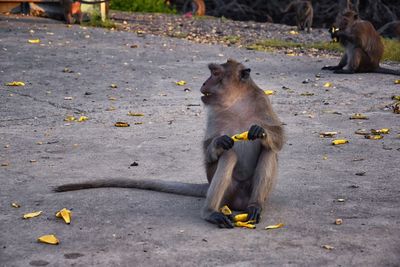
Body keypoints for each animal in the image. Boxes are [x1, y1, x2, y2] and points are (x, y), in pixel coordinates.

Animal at [54, 59, 284, 229]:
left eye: (216, 74)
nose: (204, 83)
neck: (237, 101)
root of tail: (238, 203)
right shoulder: (215, 111)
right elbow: (209, 147)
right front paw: (219, 142)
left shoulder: (261, 100)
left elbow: (278, 138)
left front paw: (260, 132)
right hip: (229, 192)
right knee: (229, 156)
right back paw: (210, 212)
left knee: (268, 151)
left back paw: (255, 206)